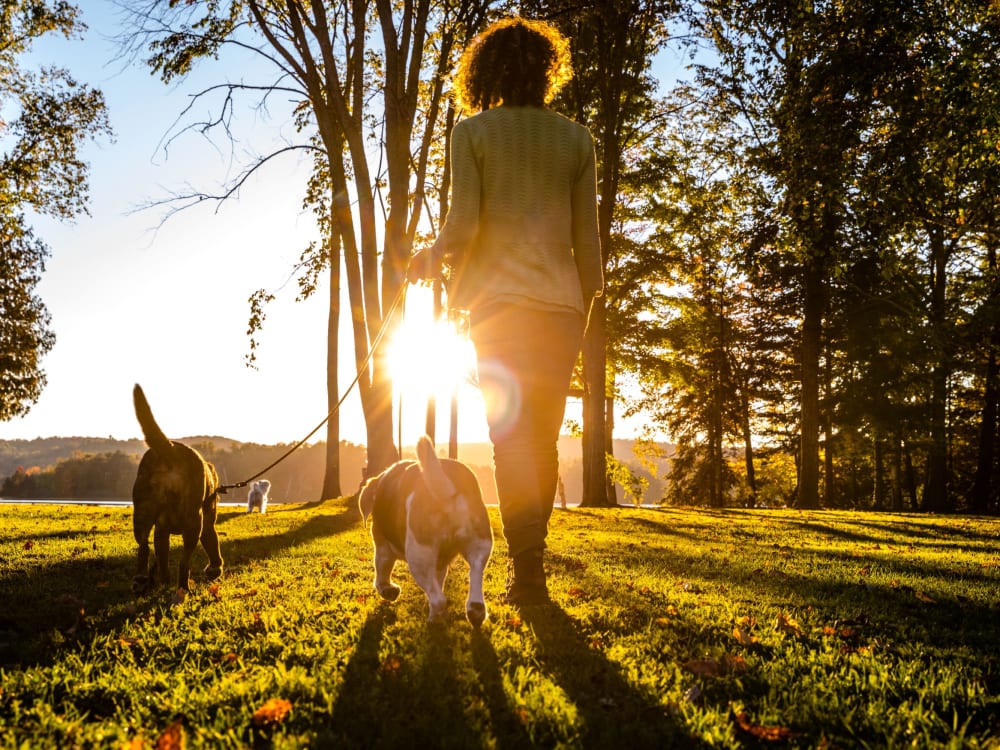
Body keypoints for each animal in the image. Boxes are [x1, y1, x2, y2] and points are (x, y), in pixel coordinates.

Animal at [131, 384, 223, 596]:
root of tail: (171, 449)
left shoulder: (161, 530)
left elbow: (162, 561)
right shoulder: (207, 524)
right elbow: (213, 543)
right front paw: (215, 568)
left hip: (142, 512)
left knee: (144, 547)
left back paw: (143, 579)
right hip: (194, 523)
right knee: (184, 562)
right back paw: (183, 588)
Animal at [360, 438, 492, 624]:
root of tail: (448, 488)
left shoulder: (383, 547)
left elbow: (382, 571)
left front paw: (388, 590)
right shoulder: (440, 563)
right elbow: (439, 581)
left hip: (419, 555)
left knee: (439, 599)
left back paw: (434, 620)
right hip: (480, 546)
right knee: (475, 575)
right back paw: (475, 611)